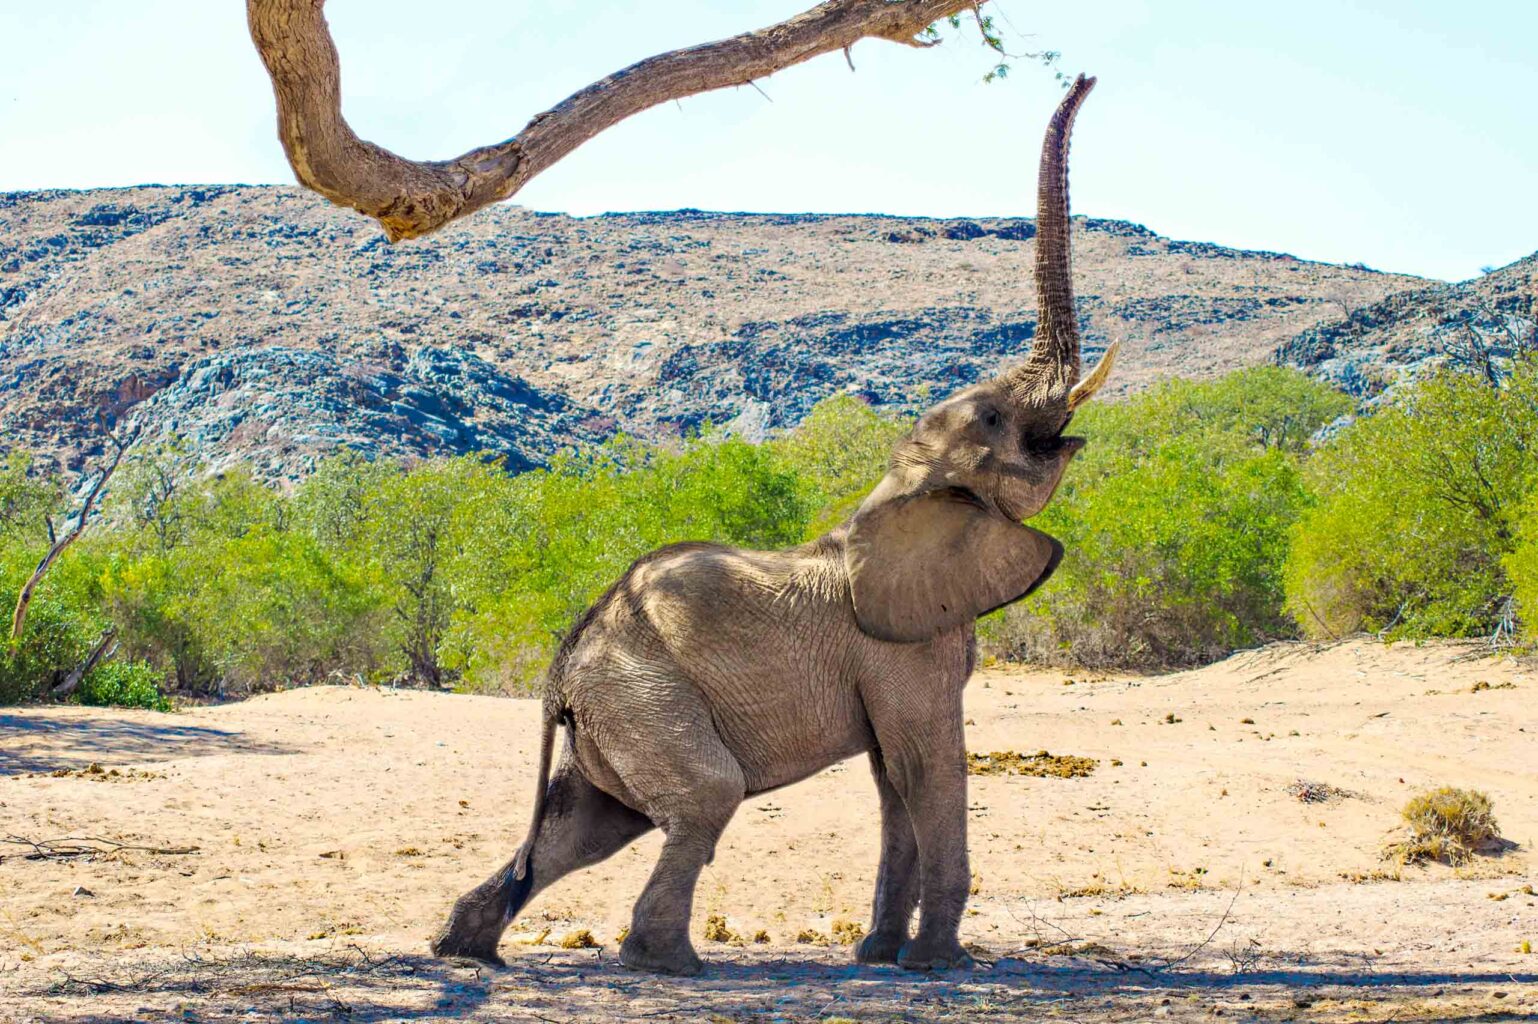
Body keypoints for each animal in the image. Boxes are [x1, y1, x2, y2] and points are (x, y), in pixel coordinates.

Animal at [433, 71, 1119, 971]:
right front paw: (939, 965)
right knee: (699, 800)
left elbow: (892, 778)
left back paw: (464, 950)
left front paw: (878, 958)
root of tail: (561, 669)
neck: (899, 489)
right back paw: (664, 961)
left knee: (578, 827)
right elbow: (925, 767)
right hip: (644, 695)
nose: (1086, 78)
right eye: (997, 421)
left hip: (614, 713)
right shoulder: (904, 653)